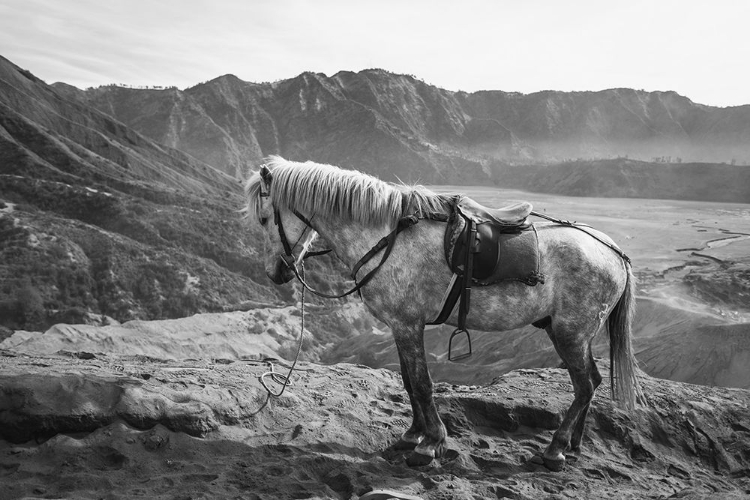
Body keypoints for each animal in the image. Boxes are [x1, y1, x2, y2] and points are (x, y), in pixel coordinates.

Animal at [244, 157, 644, 472]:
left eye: (264, 218)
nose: (274, 273)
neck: (388, 237)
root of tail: (614, 251)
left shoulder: (408, 325)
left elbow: (422, 384)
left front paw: (430, 444)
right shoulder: (400, 326)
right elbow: (409, 382)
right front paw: (412, 434)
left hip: (569, 334)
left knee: (585, 384)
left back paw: (556, 449)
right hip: (571, 333)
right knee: (591, 380)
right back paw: (574, 444)